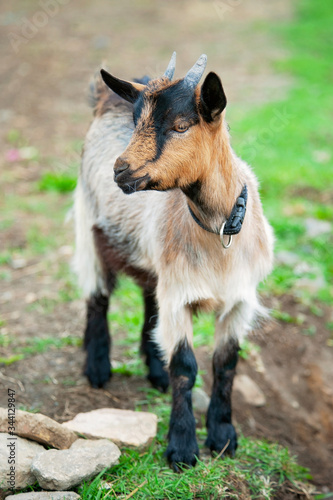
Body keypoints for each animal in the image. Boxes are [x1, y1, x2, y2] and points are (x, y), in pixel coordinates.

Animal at [74, 52, 274, 470]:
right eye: (138, 121)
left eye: (182, 125)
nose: (120, 169)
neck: (218, 234)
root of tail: (107, 94)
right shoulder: (180, 295)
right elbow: (186, 366)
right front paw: (182, 449)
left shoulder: (239, 301)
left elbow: (225, 364)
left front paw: (223, 436)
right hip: (89, 227)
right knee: (97, 296)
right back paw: (98, 367)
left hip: (153, 261)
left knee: (150, 303)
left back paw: (153, 368)